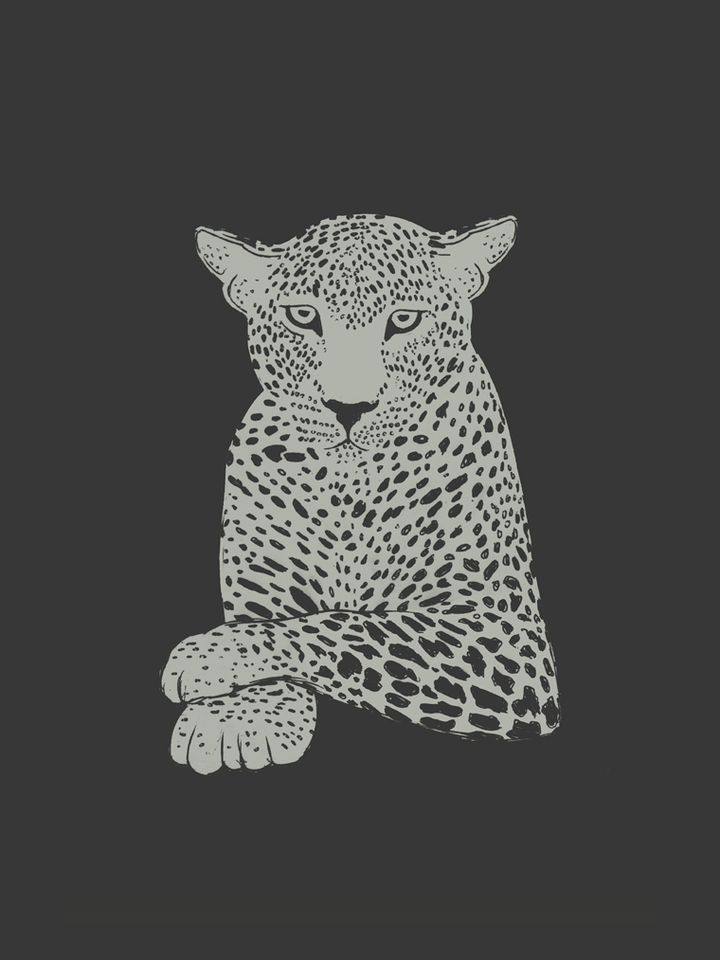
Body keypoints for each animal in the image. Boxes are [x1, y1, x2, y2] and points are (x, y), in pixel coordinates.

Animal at [161, 213, 561, 774]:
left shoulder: (509, 635)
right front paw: (241, 715)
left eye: (405, 320)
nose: (349, 408)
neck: (351, 490)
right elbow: (291, 620)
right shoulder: (262, 586)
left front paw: (208, 661)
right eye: (304, 316)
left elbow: (347, 627)